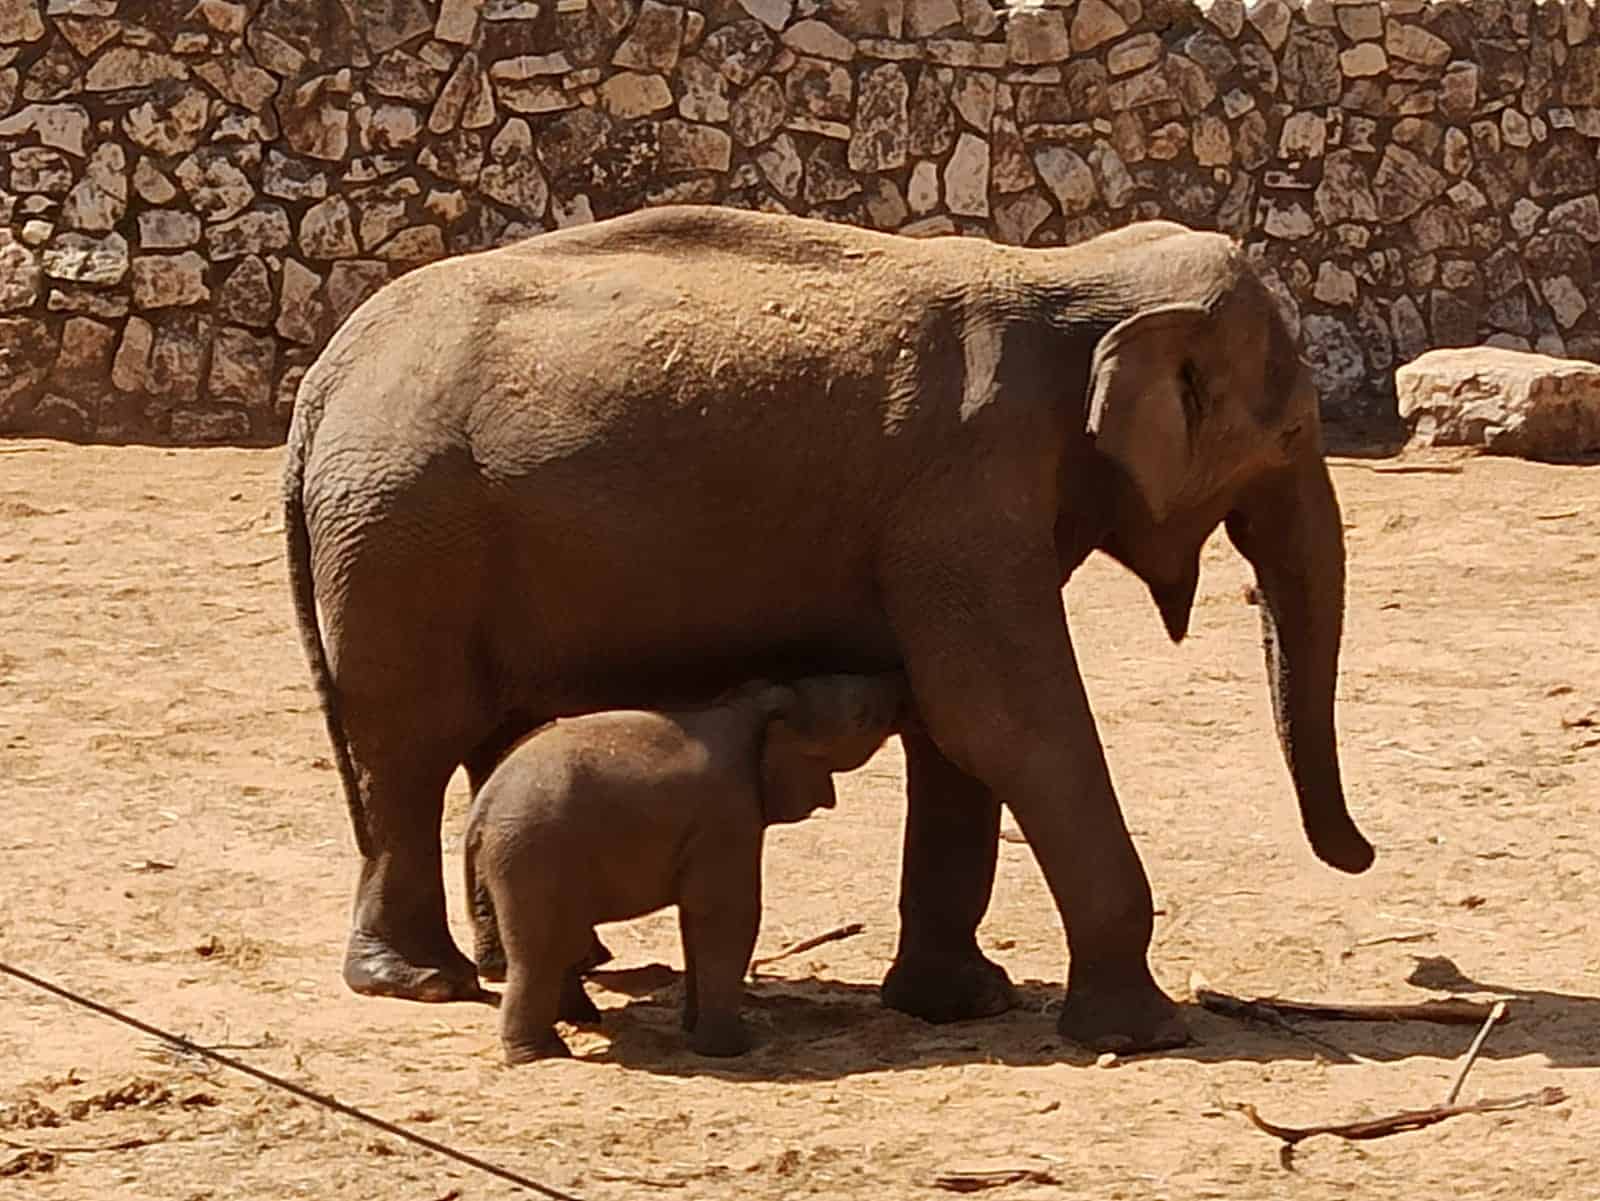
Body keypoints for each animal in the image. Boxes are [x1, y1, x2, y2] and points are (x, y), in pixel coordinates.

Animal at [467, 678, 908, 1061]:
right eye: (863, 716)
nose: (897, 678)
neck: (753, 703)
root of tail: (483, 807)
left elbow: (695, 920)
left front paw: (693, 1029)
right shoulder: (728, 812)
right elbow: (728, 915)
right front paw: (732, 1049)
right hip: (534, 857)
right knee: (544, 951)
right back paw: (541, 1054)